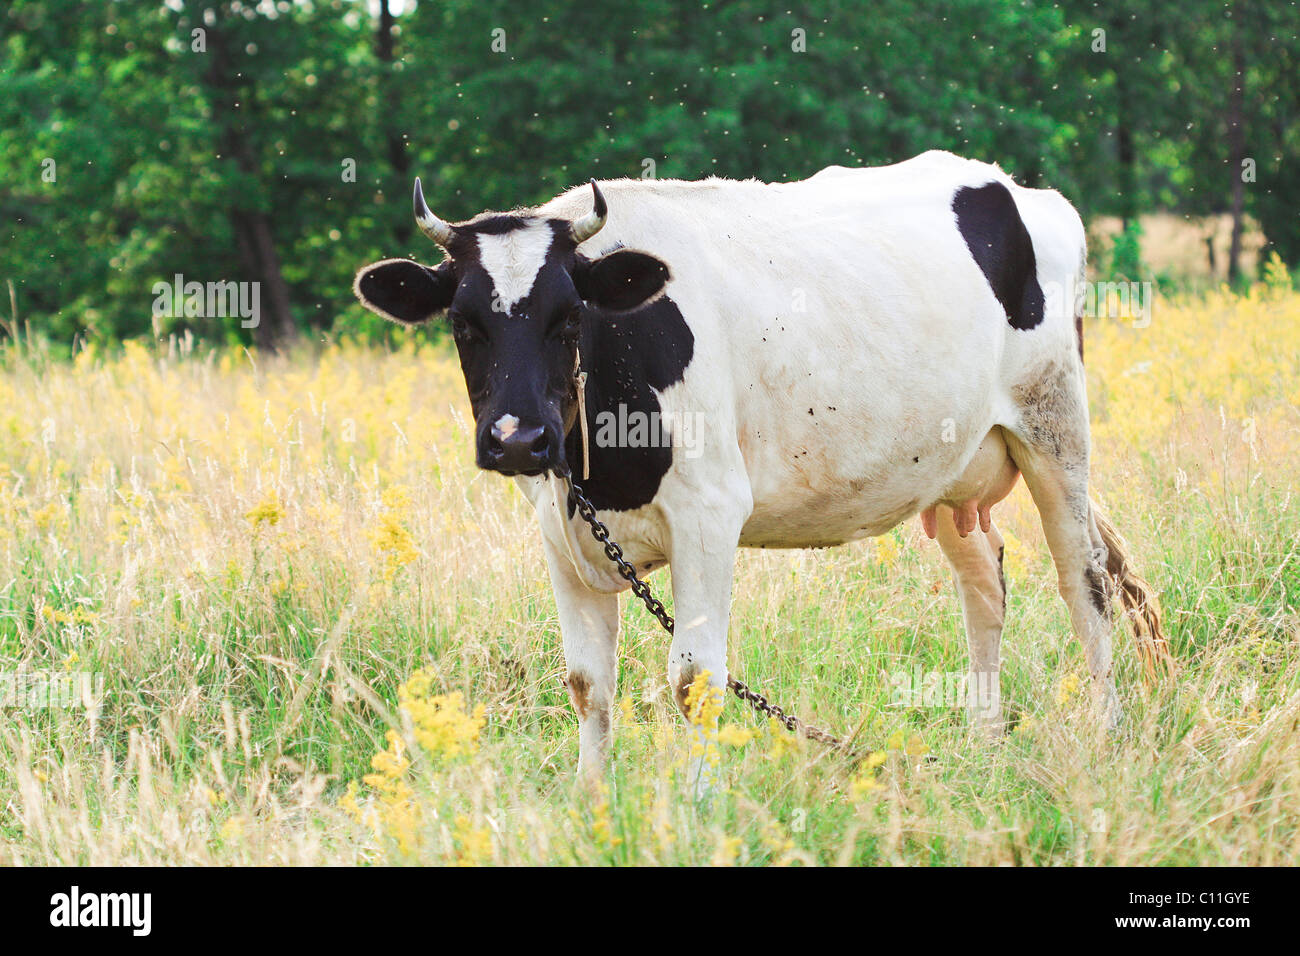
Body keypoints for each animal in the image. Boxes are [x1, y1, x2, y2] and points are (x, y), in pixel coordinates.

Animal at [354, 150, 1170, 782]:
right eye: (465, 324)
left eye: (567, 318)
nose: (519, 440)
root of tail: (1018, 190)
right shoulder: (560, 533)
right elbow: (588, 684)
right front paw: (591, 803)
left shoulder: (709, 514)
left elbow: (695, 680)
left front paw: (697, 810)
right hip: (953, 464)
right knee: (986, 585)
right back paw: (984, 740)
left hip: (1054, 427)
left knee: (1085, 580)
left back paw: (1108, 736)